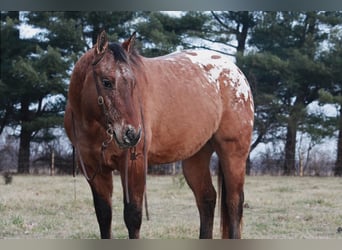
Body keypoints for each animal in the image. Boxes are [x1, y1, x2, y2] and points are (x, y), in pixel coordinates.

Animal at [65, 30, 254, 238]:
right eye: (106, 82)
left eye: (133, 83)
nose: (132, 134)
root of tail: (236, 72)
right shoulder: (94, 170)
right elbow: (104, 216)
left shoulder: (134, 165)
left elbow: (133, 216)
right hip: (196, 158)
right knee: (207, 199)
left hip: (233, 154)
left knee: (234, 202)